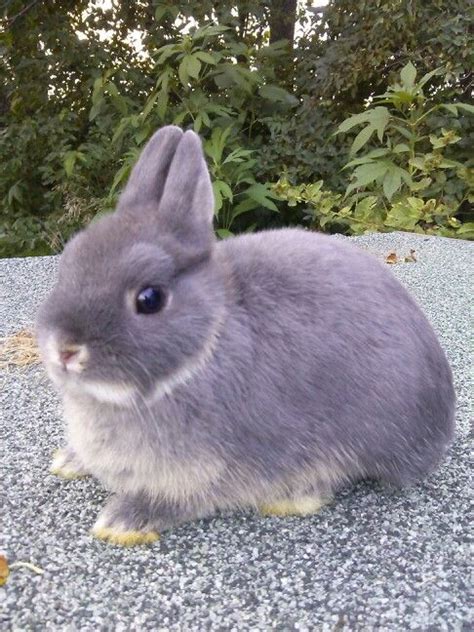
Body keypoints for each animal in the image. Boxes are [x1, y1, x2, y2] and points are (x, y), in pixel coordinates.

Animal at [35, 126, 454, 544]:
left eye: (149, 299)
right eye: (70, 262)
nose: (65, 350)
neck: (206, 345)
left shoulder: (206, 466)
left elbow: (179, 498)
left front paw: (121, 521)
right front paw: (69, 460)